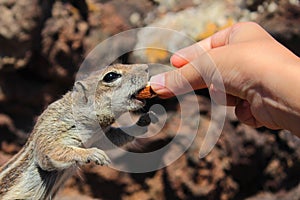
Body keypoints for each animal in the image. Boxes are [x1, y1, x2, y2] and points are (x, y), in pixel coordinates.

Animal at [0, 63, 158, 198]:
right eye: (111, 76)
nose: (146, 67)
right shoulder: (51, 130)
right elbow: (50, 152)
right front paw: (92, 153)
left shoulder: (99, 137)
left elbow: (113, 138)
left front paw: (144, 121)